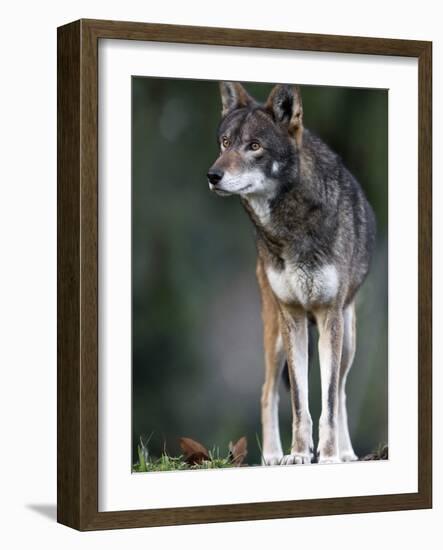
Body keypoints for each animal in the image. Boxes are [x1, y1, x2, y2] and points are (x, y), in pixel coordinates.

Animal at [210, 82, 376, 466]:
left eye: (254, 146)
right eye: (225, 142)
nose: (213, 175)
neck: (291, 226)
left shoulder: (329, 316)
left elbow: (328, 399)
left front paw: (327, 456)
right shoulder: (293, 317)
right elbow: (300, 400)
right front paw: (298, 454)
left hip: (348, 336)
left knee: (341, 391)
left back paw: (346, 453)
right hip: (275, 336)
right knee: (267, 391)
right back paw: (272, 455)